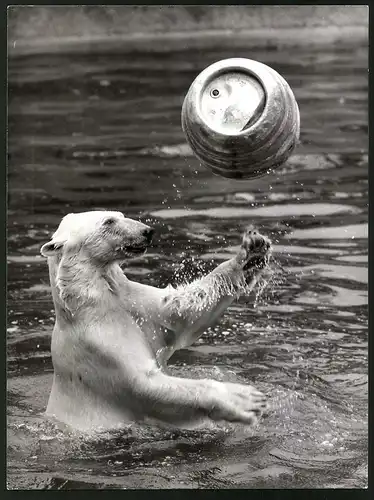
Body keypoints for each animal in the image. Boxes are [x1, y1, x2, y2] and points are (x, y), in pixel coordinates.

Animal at [39, 209, 270, 432]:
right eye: (108, 221)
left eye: (121, 215)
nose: (147, 231)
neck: (91, 305)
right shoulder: (99, 347)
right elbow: (145, 385)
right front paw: (245, 399)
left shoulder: (135, 304)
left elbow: (179, 312)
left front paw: (252, 252)